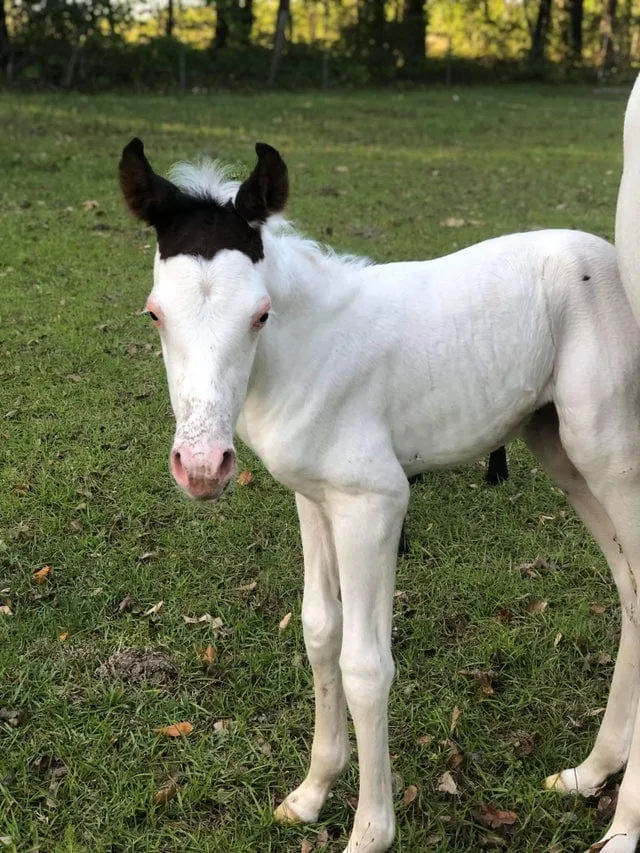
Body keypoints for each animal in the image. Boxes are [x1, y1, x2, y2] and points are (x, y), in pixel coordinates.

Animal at [120, 81, 640, 852]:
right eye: (155, 314)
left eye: (260, 313)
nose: (203, 466)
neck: (308, 351)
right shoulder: (314, 497)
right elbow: (319, 632)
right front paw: (310, 794)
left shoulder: (375, 501)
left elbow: (366, 665)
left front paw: (370, 829)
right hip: (562, 452)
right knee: (631, 588)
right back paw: (590, 772)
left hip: (611, 449)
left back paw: (625, 825)